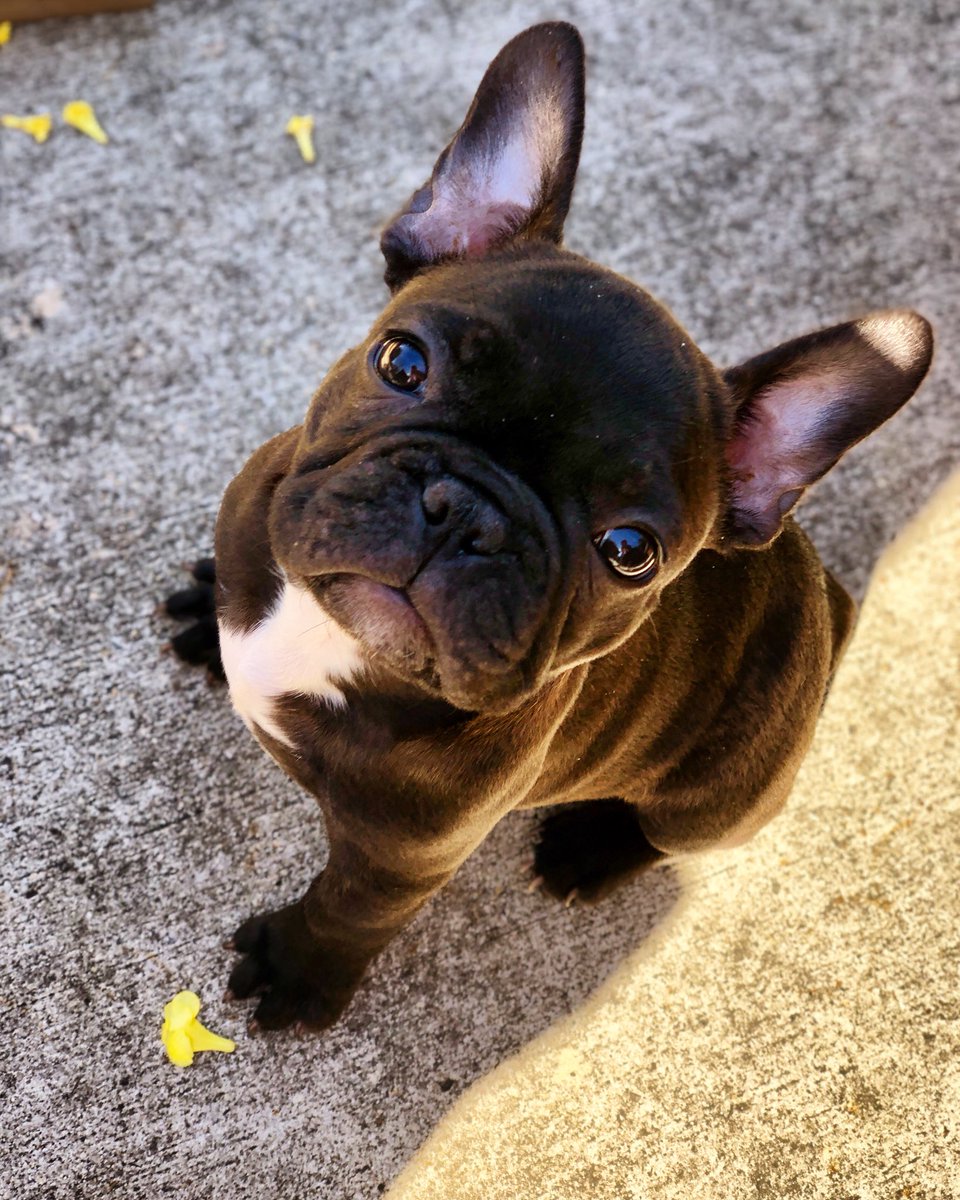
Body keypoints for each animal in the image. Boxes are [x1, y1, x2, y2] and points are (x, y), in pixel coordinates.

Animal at [165, 21, 931, 1032]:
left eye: (630, 552)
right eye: (402, 362)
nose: (466, 514)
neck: (333, 641)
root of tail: (826, 597)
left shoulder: (403, 855)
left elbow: (348, 909)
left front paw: (299, 971)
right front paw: (210, 609)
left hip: (719, 795)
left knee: (668, 830)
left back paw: (589, 850)